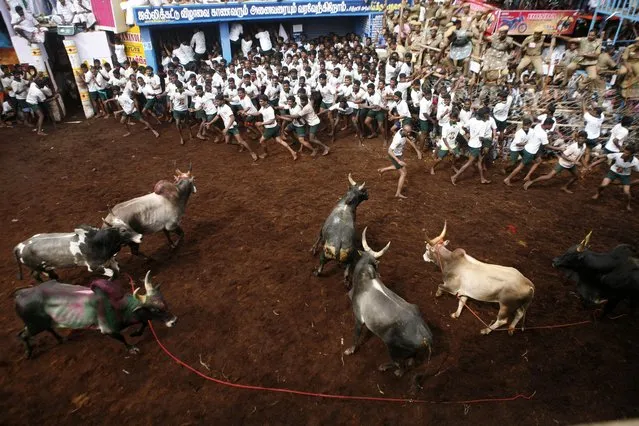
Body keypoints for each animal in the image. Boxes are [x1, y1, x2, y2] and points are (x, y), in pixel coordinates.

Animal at [12, 218, 143, 282]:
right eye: (123, 230)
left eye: (128, 225)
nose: (140, 236)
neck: (97, 241)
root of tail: (18, 246)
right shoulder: (93, 267)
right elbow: (112, 273)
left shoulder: (110, 260)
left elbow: (117, 271)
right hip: (39, 268)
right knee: (40, 276)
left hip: (43, 267)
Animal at [15, 272, 175, 358]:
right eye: (155, 310)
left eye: (165, 302)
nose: (174, 321)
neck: (118, 306)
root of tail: (20, 294)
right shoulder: (108, 330)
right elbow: (122, 338)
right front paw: (132, 348)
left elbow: (144, 322)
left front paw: (136, 333)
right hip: (34, 326)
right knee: (23, 335)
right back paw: (28, 353)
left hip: (42, 323)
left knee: (48, 329)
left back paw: (61, 339)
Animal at [344, 228, 436, 378]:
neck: (365, 279)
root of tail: (426, 338)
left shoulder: (358, 319)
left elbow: (355, 337)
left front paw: (350, 350)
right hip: (409, 352)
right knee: (410, 362)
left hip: (392, 348)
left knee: (400, 366)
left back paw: (386, 368)